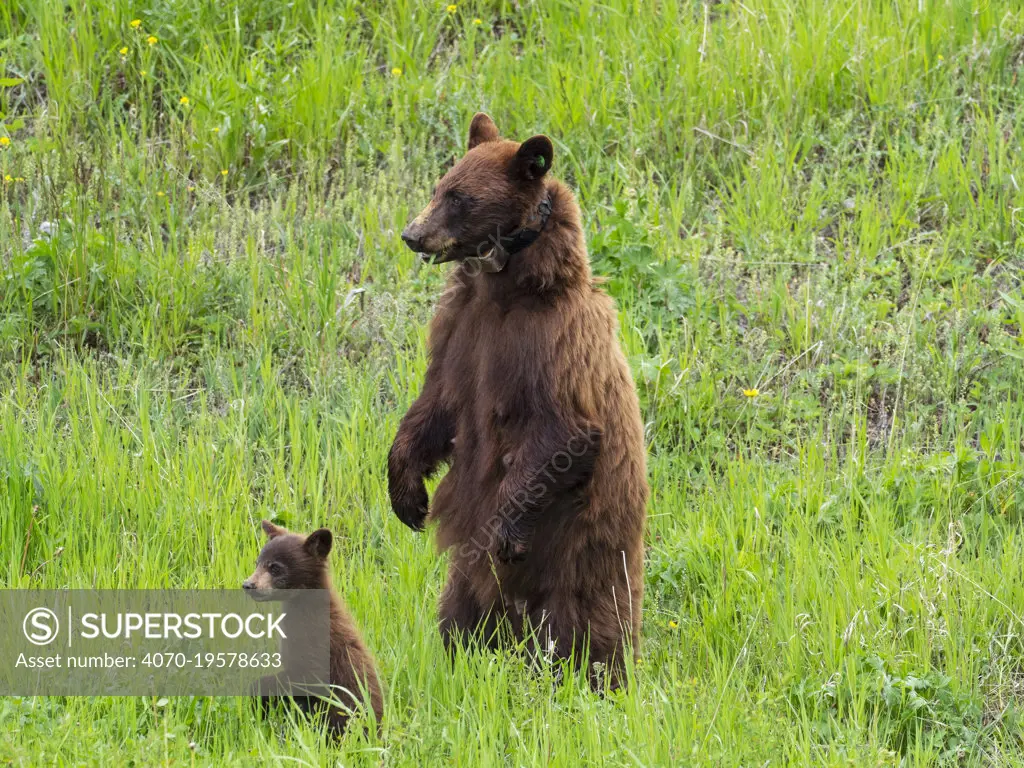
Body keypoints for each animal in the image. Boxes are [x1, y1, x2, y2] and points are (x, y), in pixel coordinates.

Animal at [391, 111, 647, 688]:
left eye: (460, 197)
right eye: (440, 186)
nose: (413, 234)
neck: (507, 286)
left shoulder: (551, 344)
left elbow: (564, 431)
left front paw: (506, 533)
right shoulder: (461, 332)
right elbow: (434, 407)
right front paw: (407, 496)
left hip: (585, 550)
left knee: (591, 620)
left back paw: (599, 675)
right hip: (471, 580)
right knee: (460, 608)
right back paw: (462, 653)